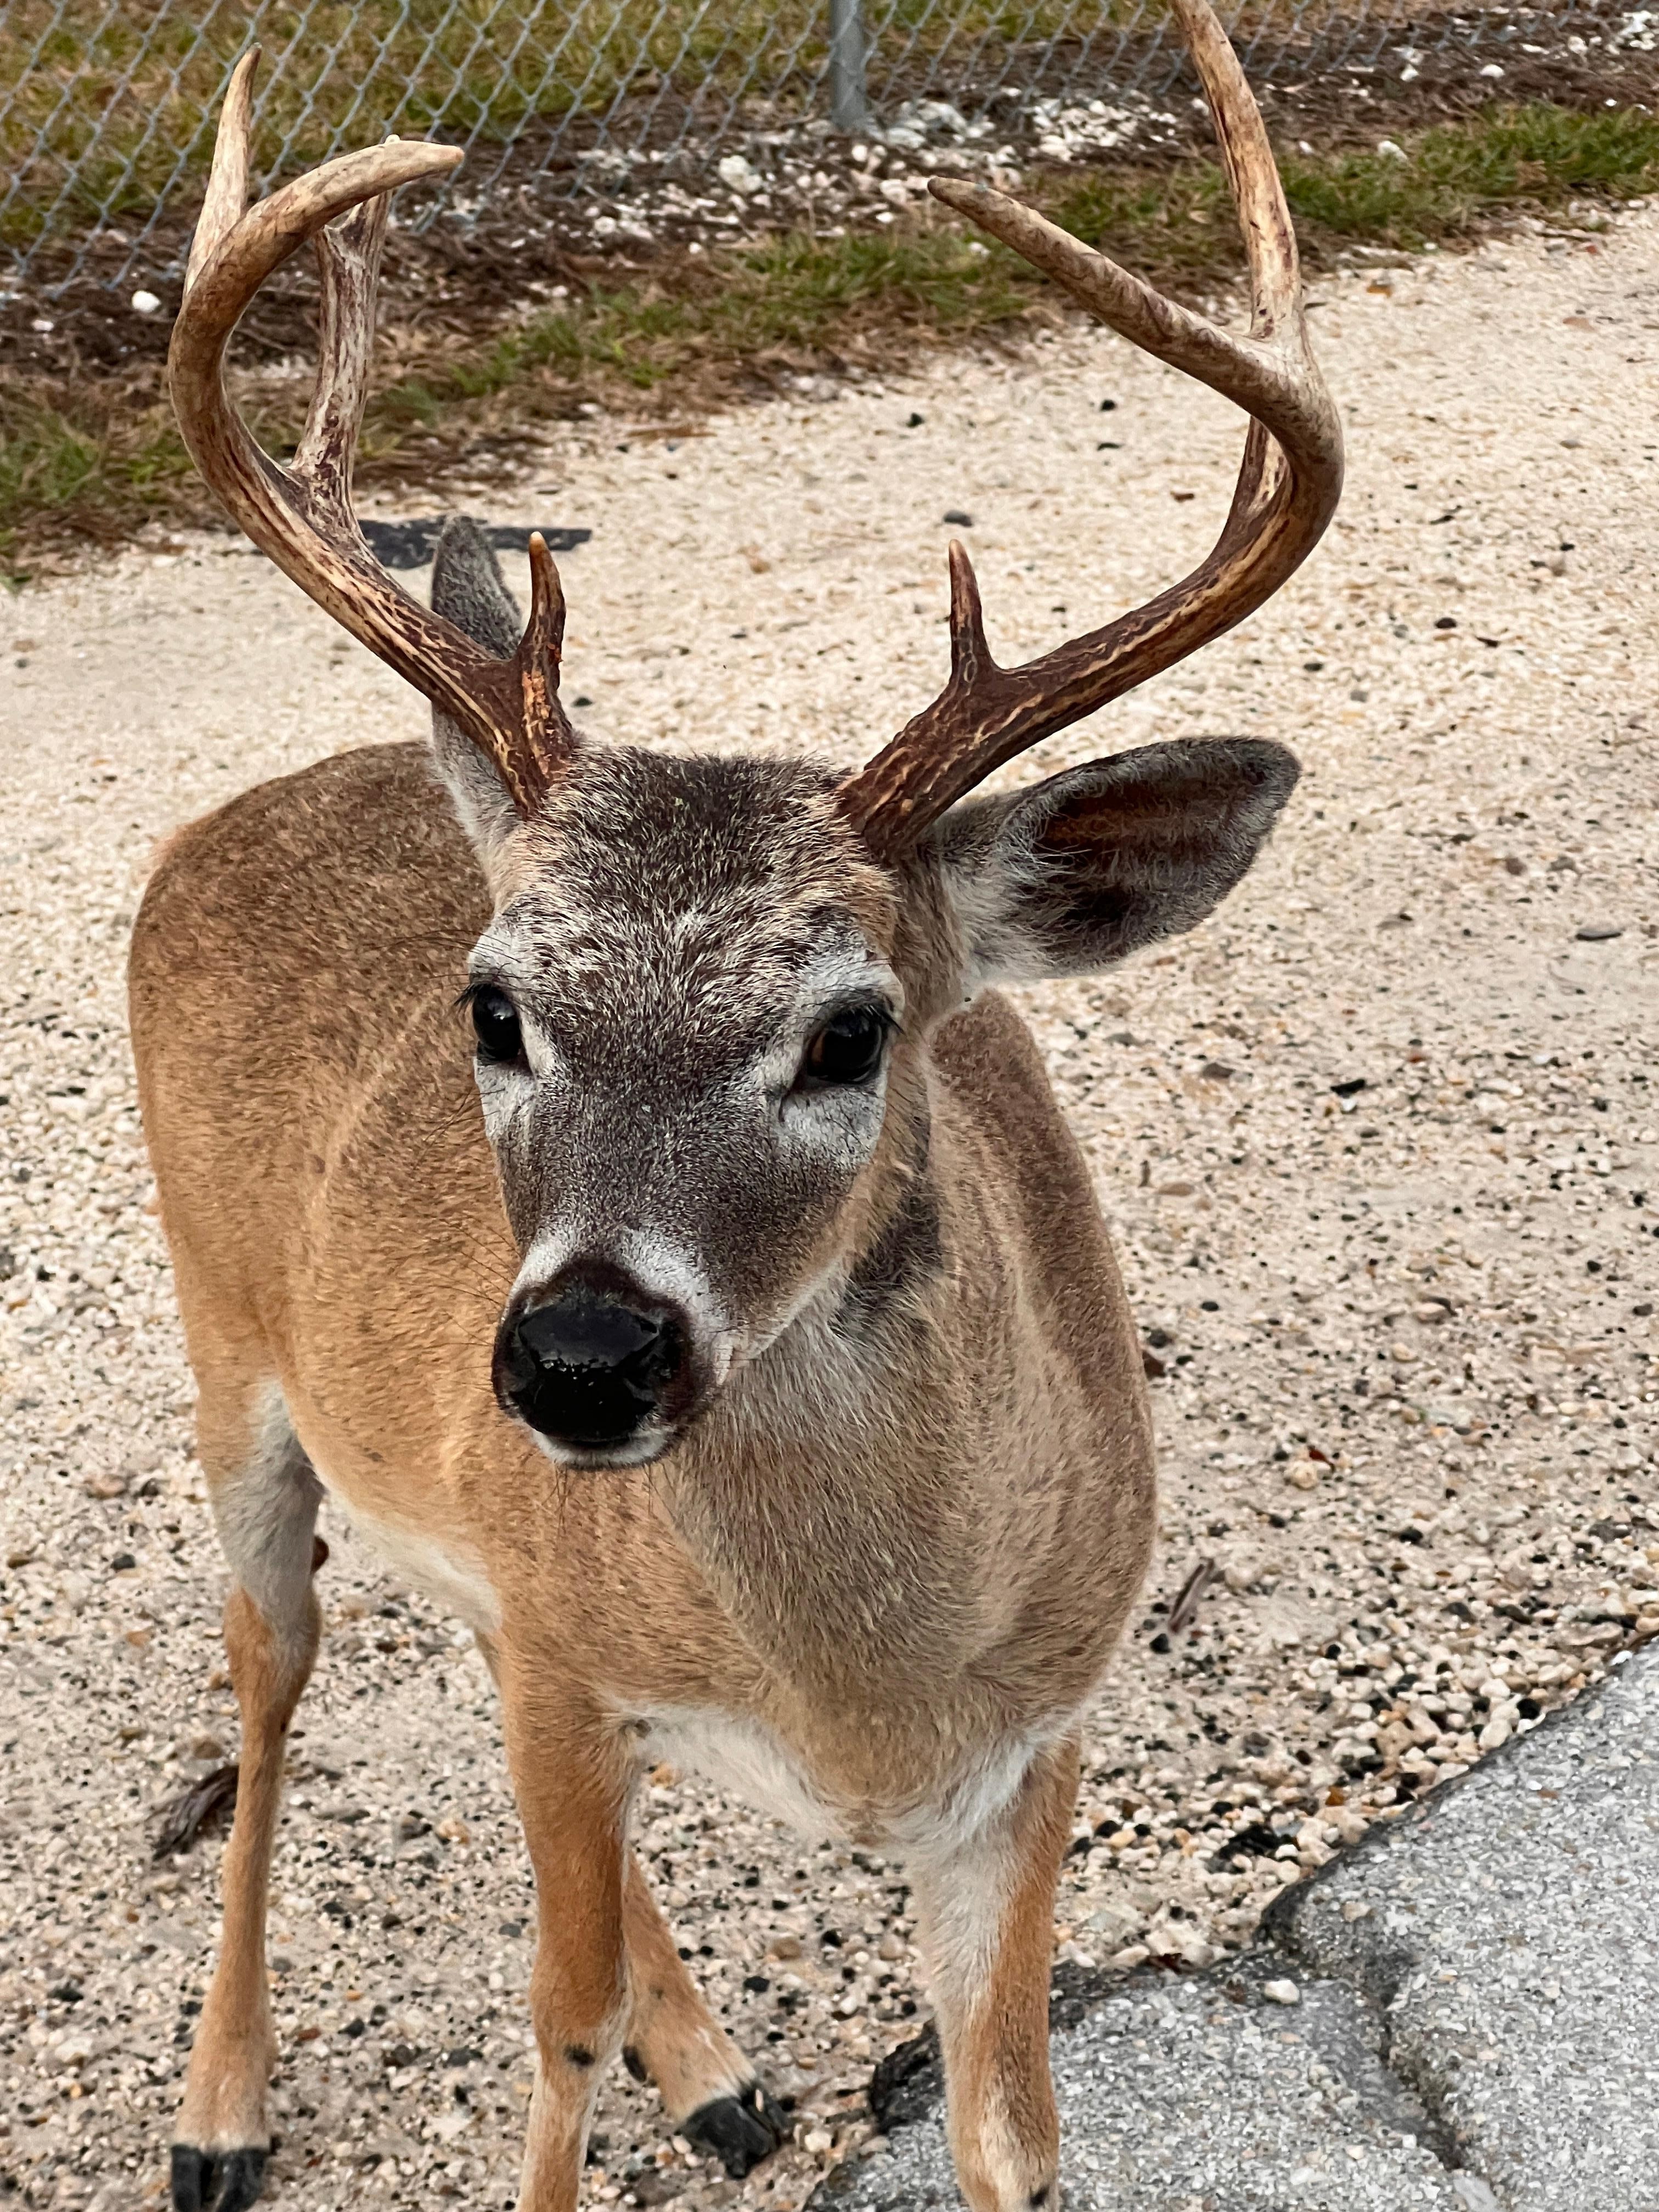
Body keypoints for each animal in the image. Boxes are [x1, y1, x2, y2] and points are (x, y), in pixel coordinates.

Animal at [128, 5, 1340, 2207]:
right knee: (268, 1680)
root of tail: (223, 822)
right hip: (227, 1362)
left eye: (854, 1030)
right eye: (494, 1003)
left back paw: (711, 2062)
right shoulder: (567, 1664)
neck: (856, 1706)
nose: (581, 1353)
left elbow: (1009, 2122)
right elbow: (549, 2031)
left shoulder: (1038, 1736)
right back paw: (221, 2108)